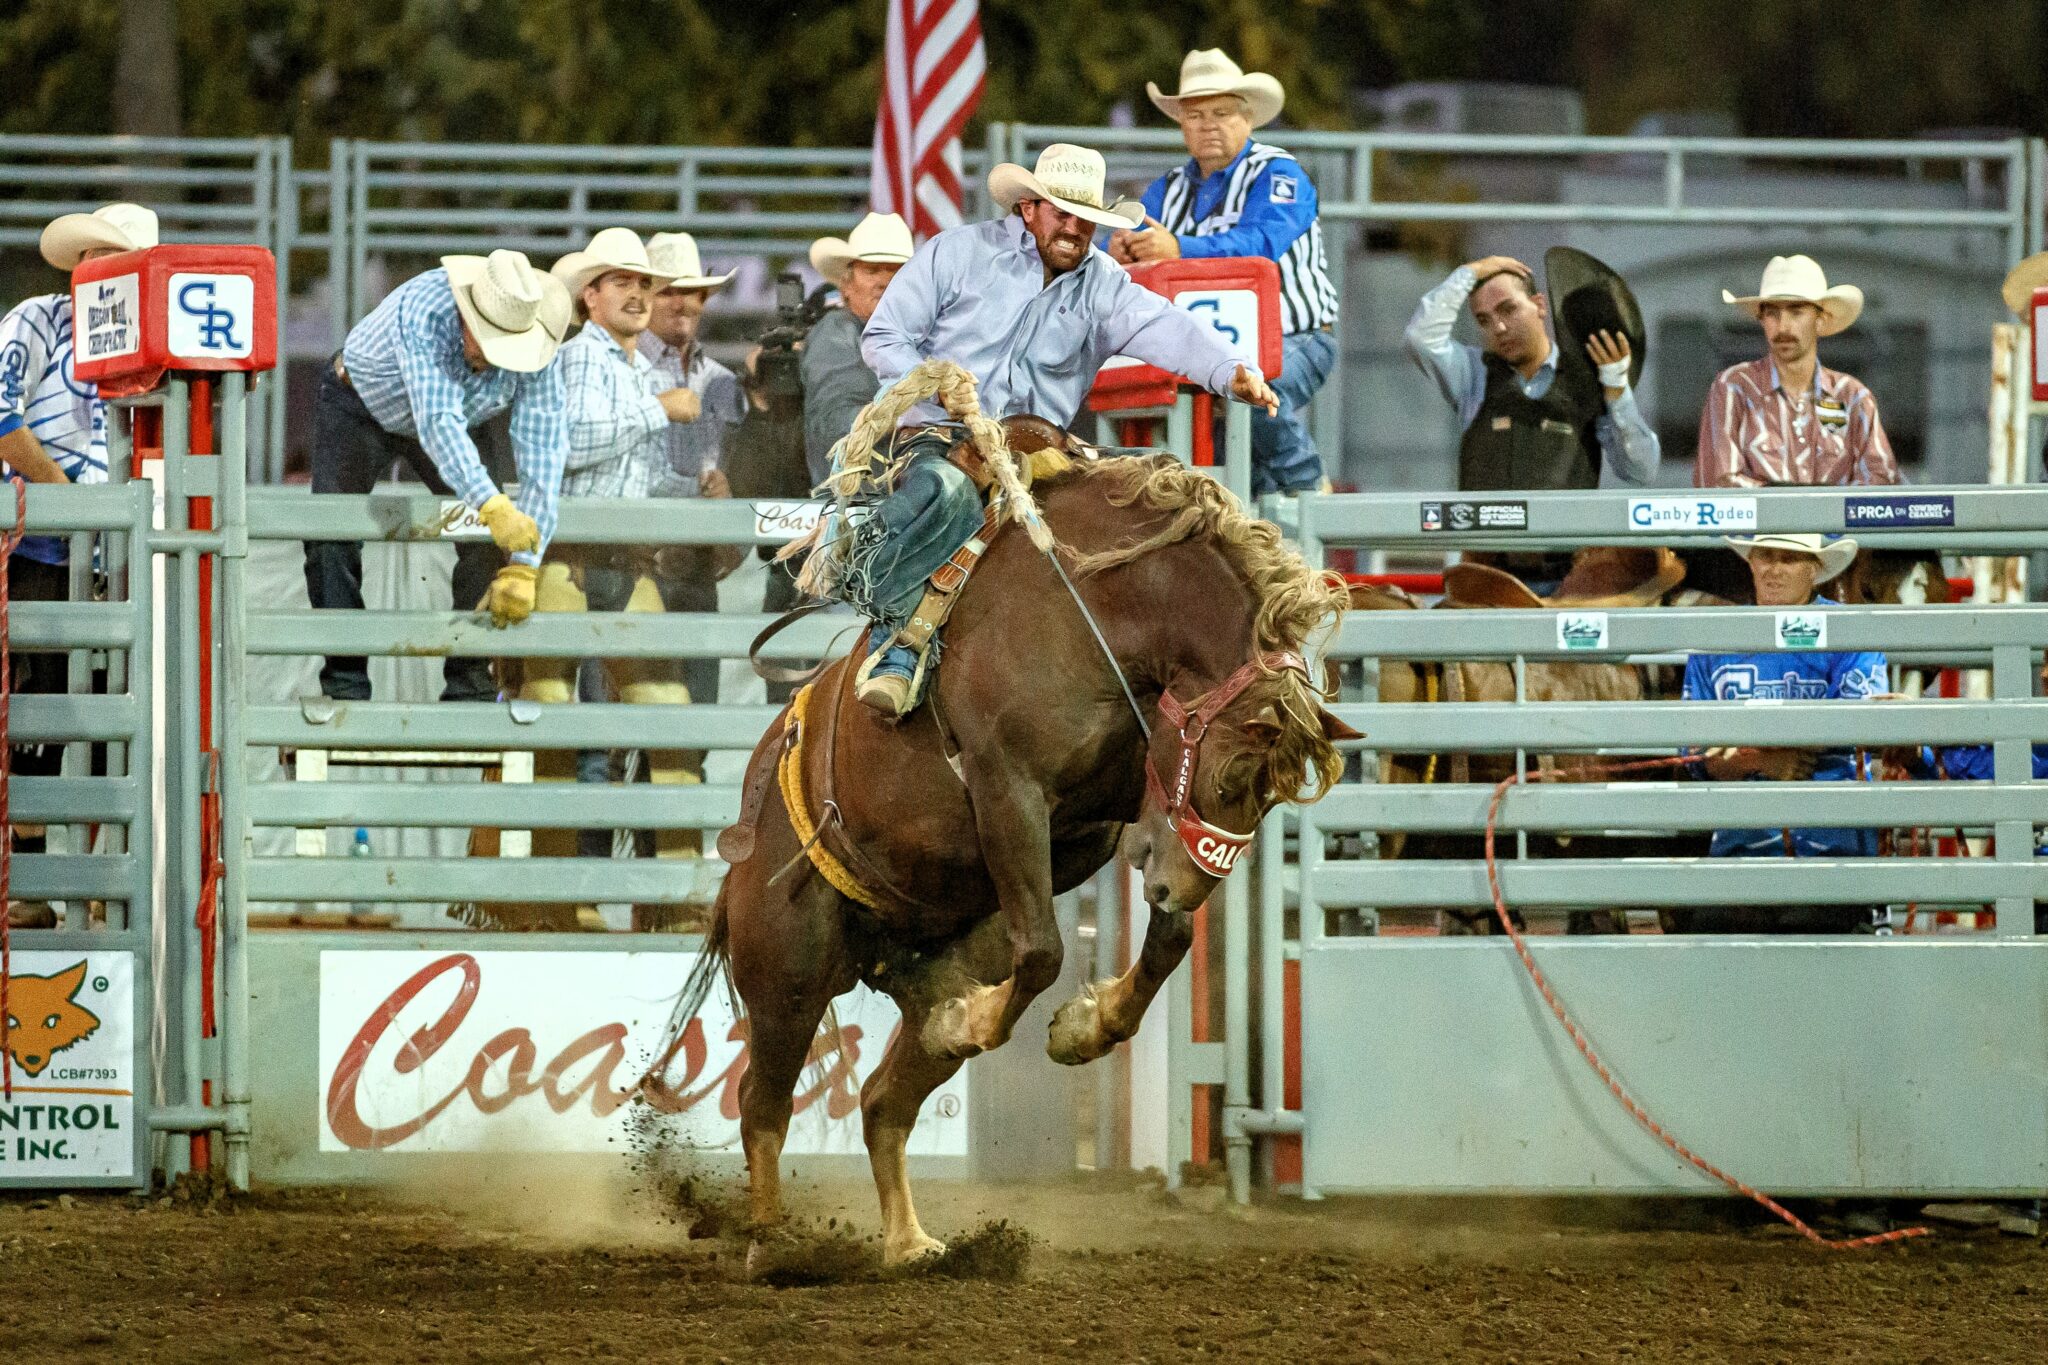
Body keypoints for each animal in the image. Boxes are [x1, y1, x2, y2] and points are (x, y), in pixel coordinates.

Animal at [659, 454, 1359, 1268]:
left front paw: (1083, 1026)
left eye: (1275, 799)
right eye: (1229, 777)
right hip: (787, 974)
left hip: (930, 958)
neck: (1099, 612)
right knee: (762, 1107)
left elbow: (1169, 940)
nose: (1182, 885)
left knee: (880, 1103)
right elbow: (1046, 951)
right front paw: (977, 1020)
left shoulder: (1119, 814)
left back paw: (909, 1237)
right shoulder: (1007, 790)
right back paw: (771, 1246)